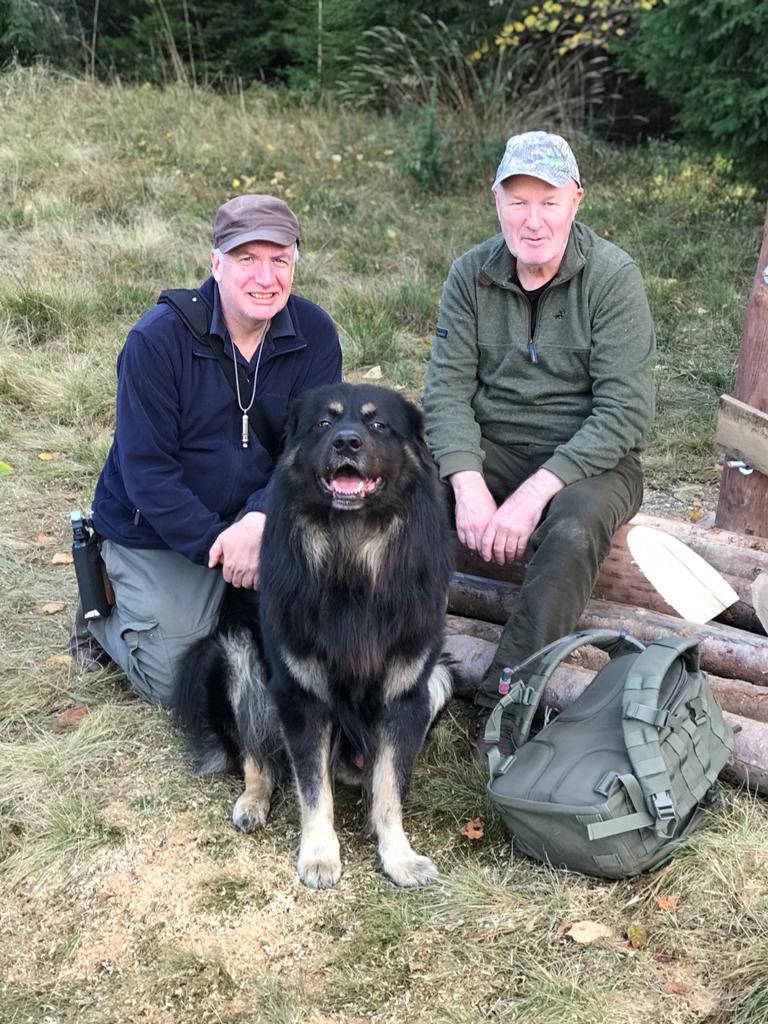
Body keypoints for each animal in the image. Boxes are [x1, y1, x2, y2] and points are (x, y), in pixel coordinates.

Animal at [171, 385, 454, 888]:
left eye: (377, 424)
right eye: (324, 423)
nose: (346, 442)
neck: (353, 551)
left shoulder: (407, 692)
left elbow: (390, 787)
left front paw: (398, 856)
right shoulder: (301, 695)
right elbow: (312, 788)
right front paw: (320, 855)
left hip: (440, 680)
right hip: (236, 655)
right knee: (258, 757)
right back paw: (253, 801)